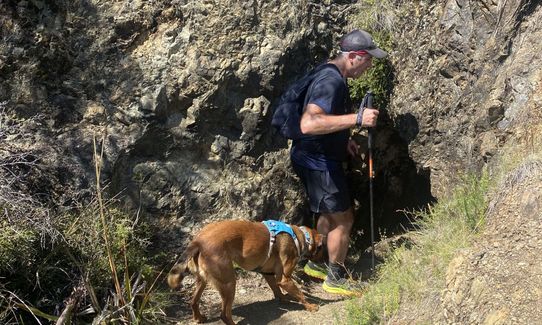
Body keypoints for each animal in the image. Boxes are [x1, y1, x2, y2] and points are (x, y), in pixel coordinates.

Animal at [168, 219, 326, 322]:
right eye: (322, 249)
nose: (324, 264)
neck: (300, 236)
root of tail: (198, 241)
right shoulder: (285, 279)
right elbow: (300, 294)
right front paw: (310, 306)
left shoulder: (269, 274)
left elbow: (277, 289)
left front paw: (283, 298)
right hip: (229, 283)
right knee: (224, 315)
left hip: (203, 281)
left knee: (193, 301)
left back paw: (198, 318)